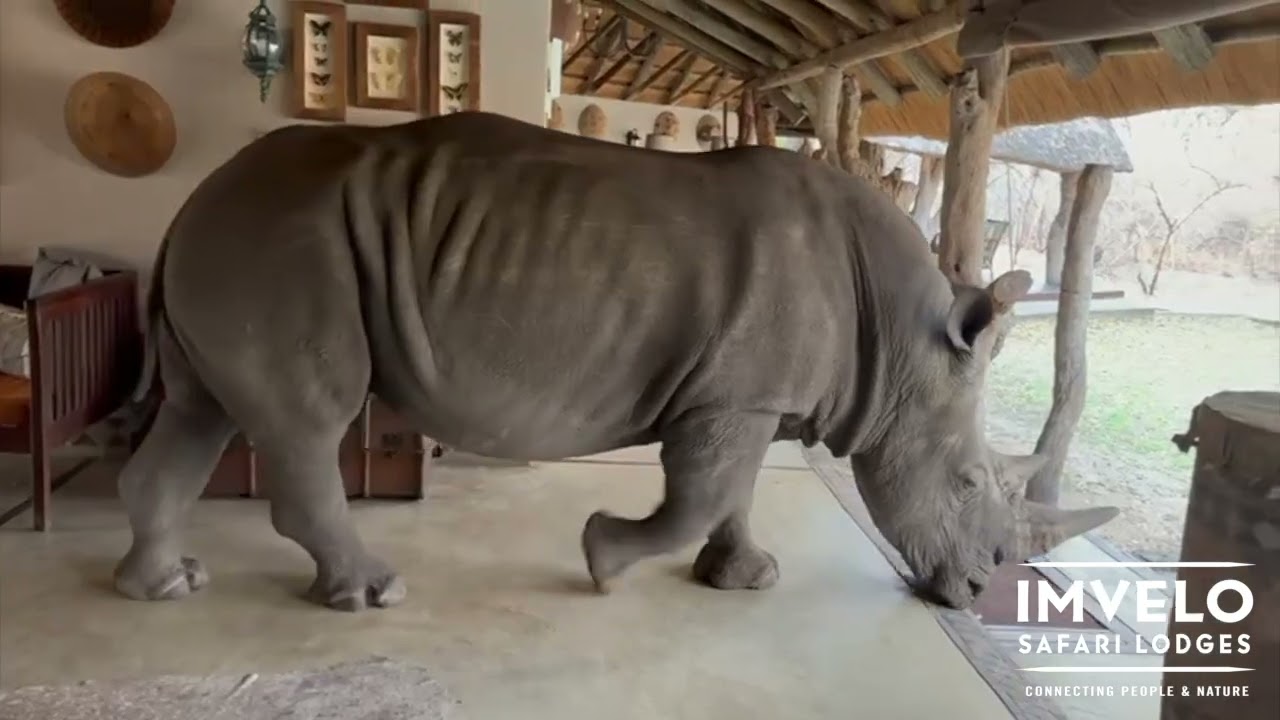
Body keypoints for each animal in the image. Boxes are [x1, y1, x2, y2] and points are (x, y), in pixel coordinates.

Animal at [112, 111, 1116, 612]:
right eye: (967, 483)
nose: (974, 592)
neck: (907, 340)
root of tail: (192, 201)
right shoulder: (733, 398)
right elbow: (699, 495)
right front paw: (602, 558)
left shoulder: (751, 395)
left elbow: (734, 494)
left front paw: (745, 580)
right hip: (285, 239)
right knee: (304, 421)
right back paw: (372, 594)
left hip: (244, 240)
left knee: (201, 411)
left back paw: (163, 587)